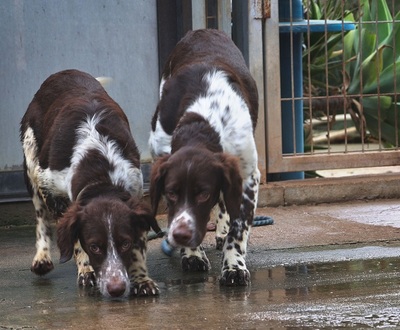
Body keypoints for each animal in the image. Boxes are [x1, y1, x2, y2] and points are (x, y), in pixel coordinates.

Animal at [20, 69, 161, 300]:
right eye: (95, 247)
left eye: (124, 243)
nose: (116, 288)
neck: (99, 173)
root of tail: (64, 72)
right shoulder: (50, 189)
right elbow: (74, 239)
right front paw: (86, 269)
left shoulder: (136, 192)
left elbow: (138, 247)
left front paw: (141, 280)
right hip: (31, 162)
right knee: (40, 217)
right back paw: (42, 257)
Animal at [149, 29, 260, 286]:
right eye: (171, 192)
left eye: (204, 194)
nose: (180, 236)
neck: (202, 122)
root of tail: (204, 30)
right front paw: (192, 254)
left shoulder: (247, 175)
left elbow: (238, 227)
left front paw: (234, 266)